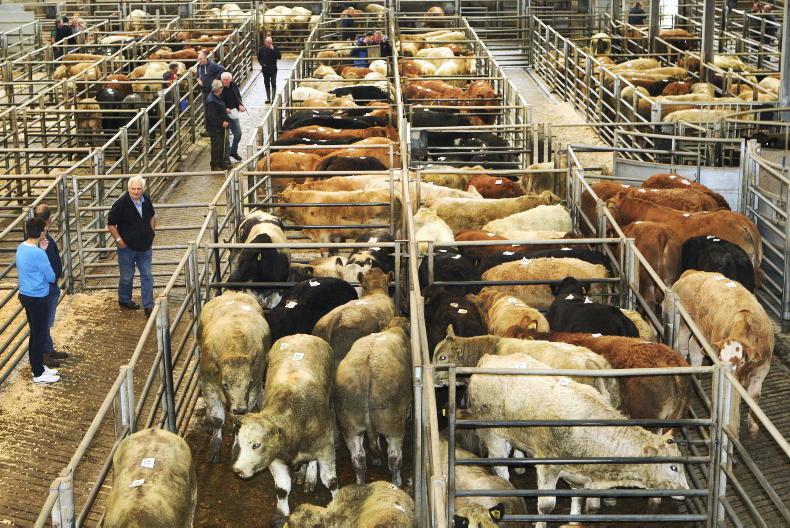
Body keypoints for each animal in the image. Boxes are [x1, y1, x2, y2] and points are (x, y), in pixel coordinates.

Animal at [198, 292, 271, 463]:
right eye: (225, 384)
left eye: (249, 382)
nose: (239, 409)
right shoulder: (208, 384)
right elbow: (218, 419)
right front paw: (215, 446)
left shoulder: (254, 387)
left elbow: (239, 423)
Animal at [233, 334, 338, 516]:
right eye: (240, 443)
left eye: (256, 445)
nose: (238, 469)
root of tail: (301, 335)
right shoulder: (275, 457)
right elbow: (282, 489)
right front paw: (281, 513)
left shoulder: (326, 447)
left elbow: (331, 482)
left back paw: (309, 476)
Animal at [335, 318, 411, 486]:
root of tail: (367, 369)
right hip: (393, 426)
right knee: (394, 457)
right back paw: (397, 482)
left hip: (350, 427)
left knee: (358, 459)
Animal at [670, 270, 774, 436]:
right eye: (719, 358)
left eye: (742, 362)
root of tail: (692, 272)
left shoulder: (762, 368)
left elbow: (754, 396)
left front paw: (753, 426)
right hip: (684, 323)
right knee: (684, 346)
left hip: (701, 332)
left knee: (694, 348)